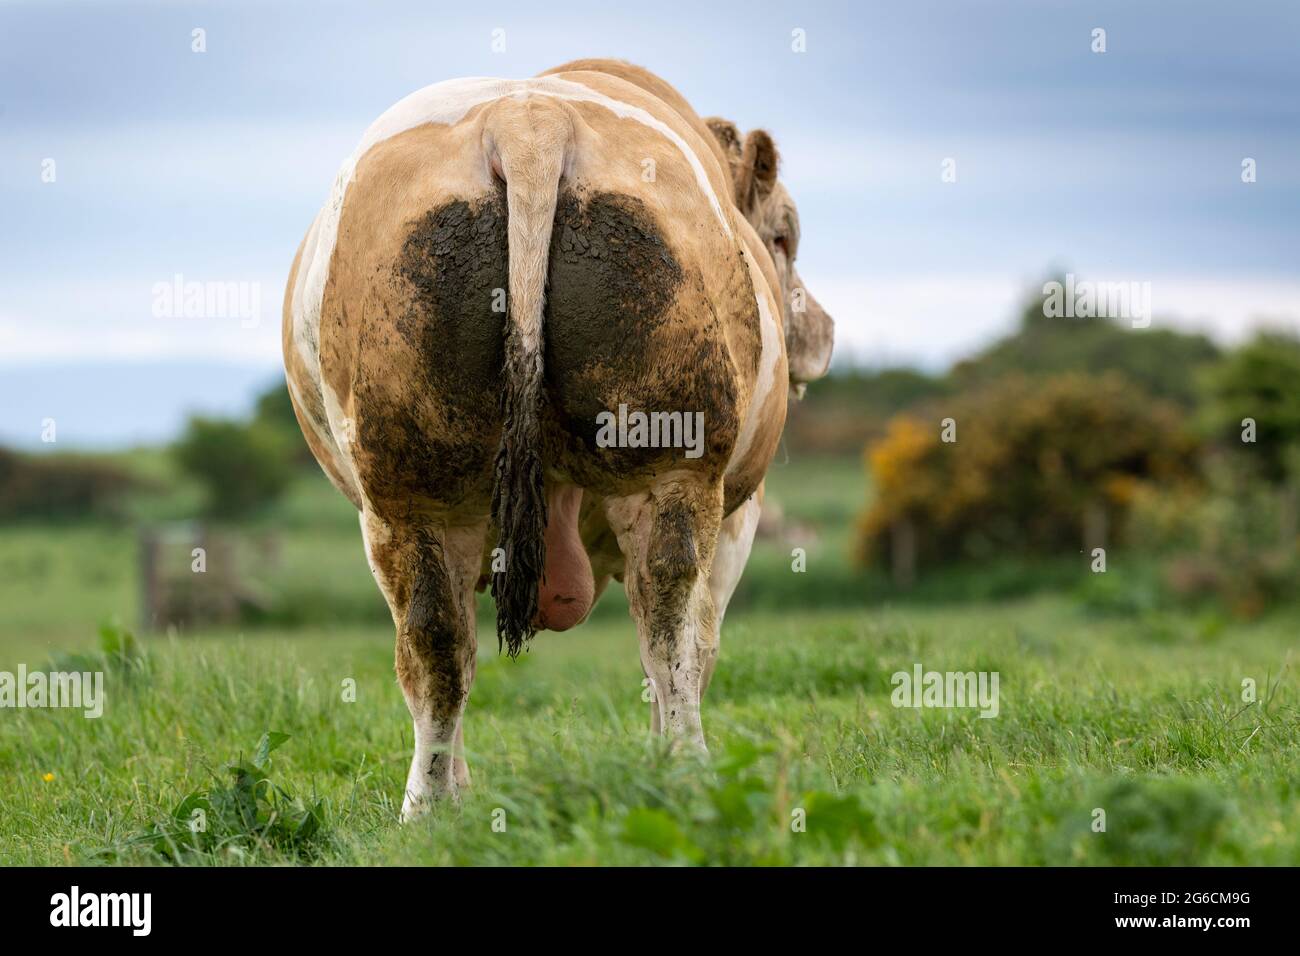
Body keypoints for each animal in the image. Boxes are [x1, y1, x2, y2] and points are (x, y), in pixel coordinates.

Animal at [282, 59, 833, 819]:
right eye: (783, 237)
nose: (823, 332)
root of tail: (527, 121)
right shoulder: (739, 519)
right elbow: (698, 643)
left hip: (411, 495)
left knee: (437, 647)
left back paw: (428, 811)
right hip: (673, 469)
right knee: (671, 631)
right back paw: (688, 773)